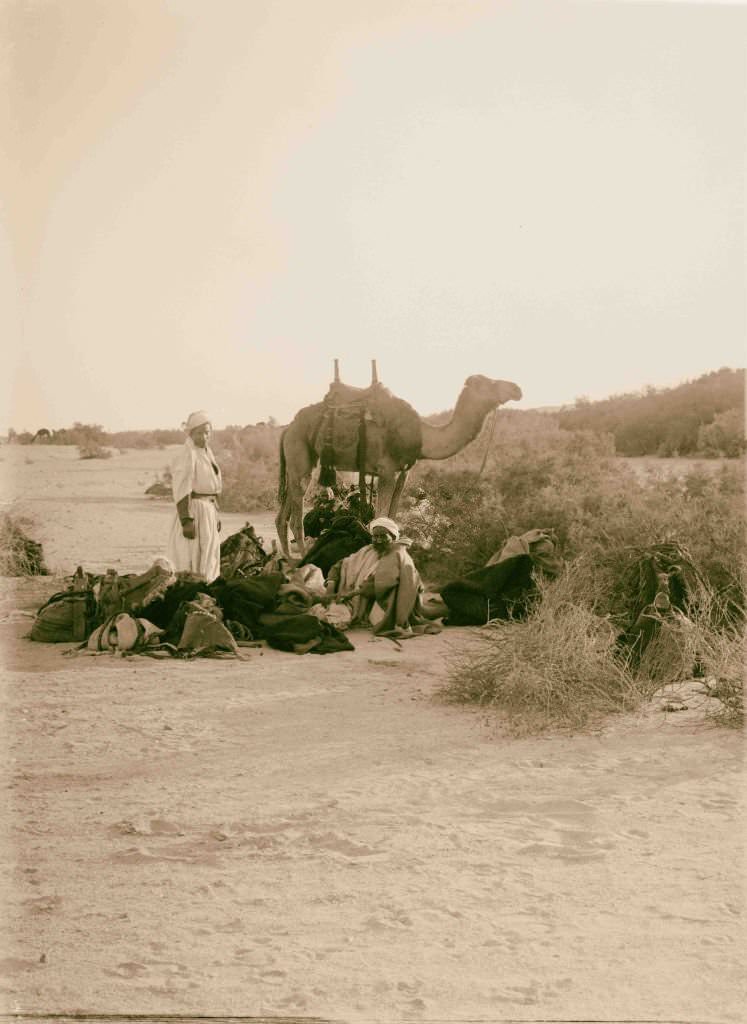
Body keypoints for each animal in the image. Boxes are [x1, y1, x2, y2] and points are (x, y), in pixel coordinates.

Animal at [274, 372, 518, 557]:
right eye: (489, 383)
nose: (516, 388)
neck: (422, 435)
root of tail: (287, 429)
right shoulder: (386, 470)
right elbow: (379, 516)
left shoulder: (403, 472)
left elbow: (391, 516)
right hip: (299, 453)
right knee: (296, 514)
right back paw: (303, 558)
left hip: (296, 461)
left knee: (282, 515)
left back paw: (287, 559)